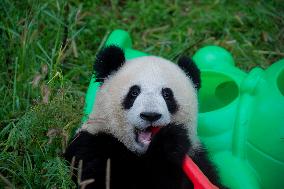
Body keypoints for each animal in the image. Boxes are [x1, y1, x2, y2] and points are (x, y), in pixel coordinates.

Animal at [65, 45, 227, 189]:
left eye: (167, 94)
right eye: (134, 92)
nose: (151, 115)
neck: (140, 152)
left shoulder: (197, 157)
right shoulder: (92, 146)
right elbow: (107, 181)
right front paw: (169, 141)